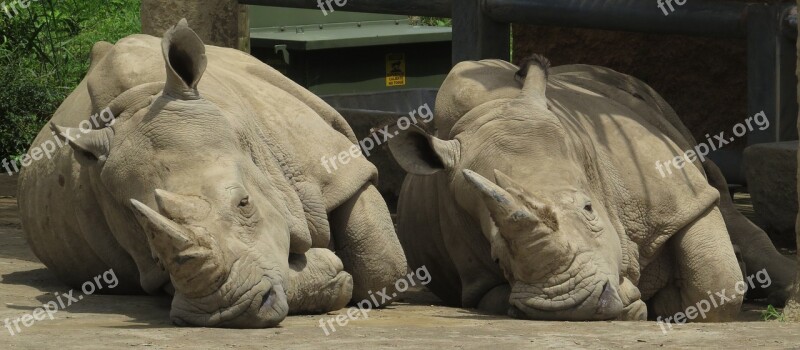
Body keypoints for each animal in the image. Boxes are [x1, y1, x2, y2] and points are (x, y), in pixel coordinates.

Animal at [18, 19, 406, 328]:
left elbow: (382, 267)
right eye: (151, 248)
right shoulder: (149, 263)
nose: (227, 313)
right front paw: (330, 272)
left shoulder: (332, 167)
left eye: (244, 203)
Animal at [388, 56, 792, 322]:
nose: (572, 306)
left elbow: (716, 283)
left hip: (650, 105)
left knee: (720, 198)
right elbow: (495, 297)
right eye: (497, 257)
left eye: (588, 209)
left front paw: (666, 303)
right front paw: (640, 299)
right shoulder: (476, 280)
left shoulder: (680, 195)